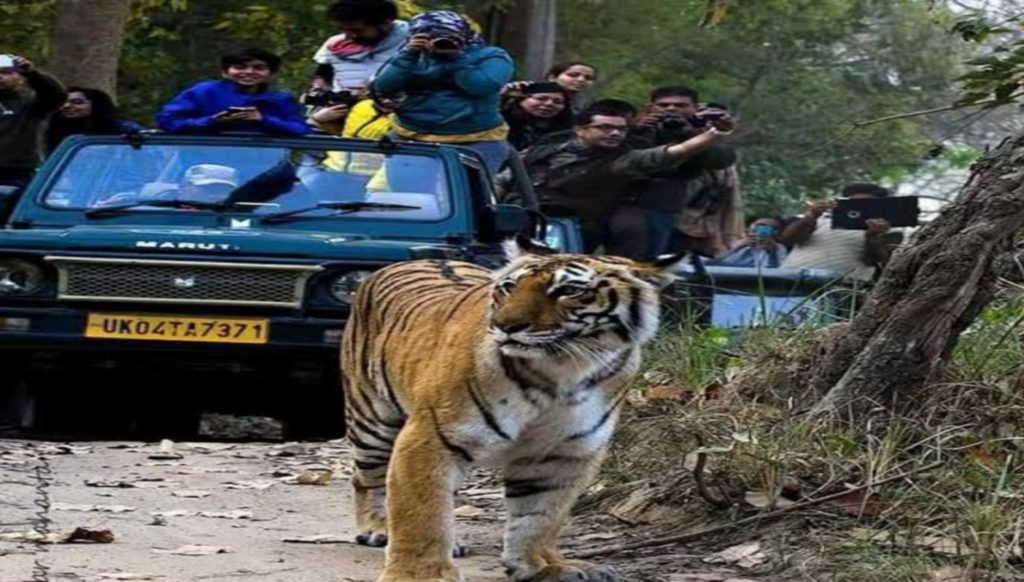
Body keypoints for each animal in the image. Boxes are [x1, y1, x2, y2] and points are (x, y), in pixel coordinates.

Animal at [339, 236, 684, 581]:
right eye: (508, 287)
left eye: (568, 290)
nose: (505, 325)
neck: (563, 371)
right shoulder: (431, 436)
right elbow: (420, 513)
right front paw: (421, 575)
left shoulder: (560, 452)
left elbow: (540, 515)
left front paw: (541, 565)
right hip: (372, 421)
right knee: (367, 478)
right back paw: (378, 529)